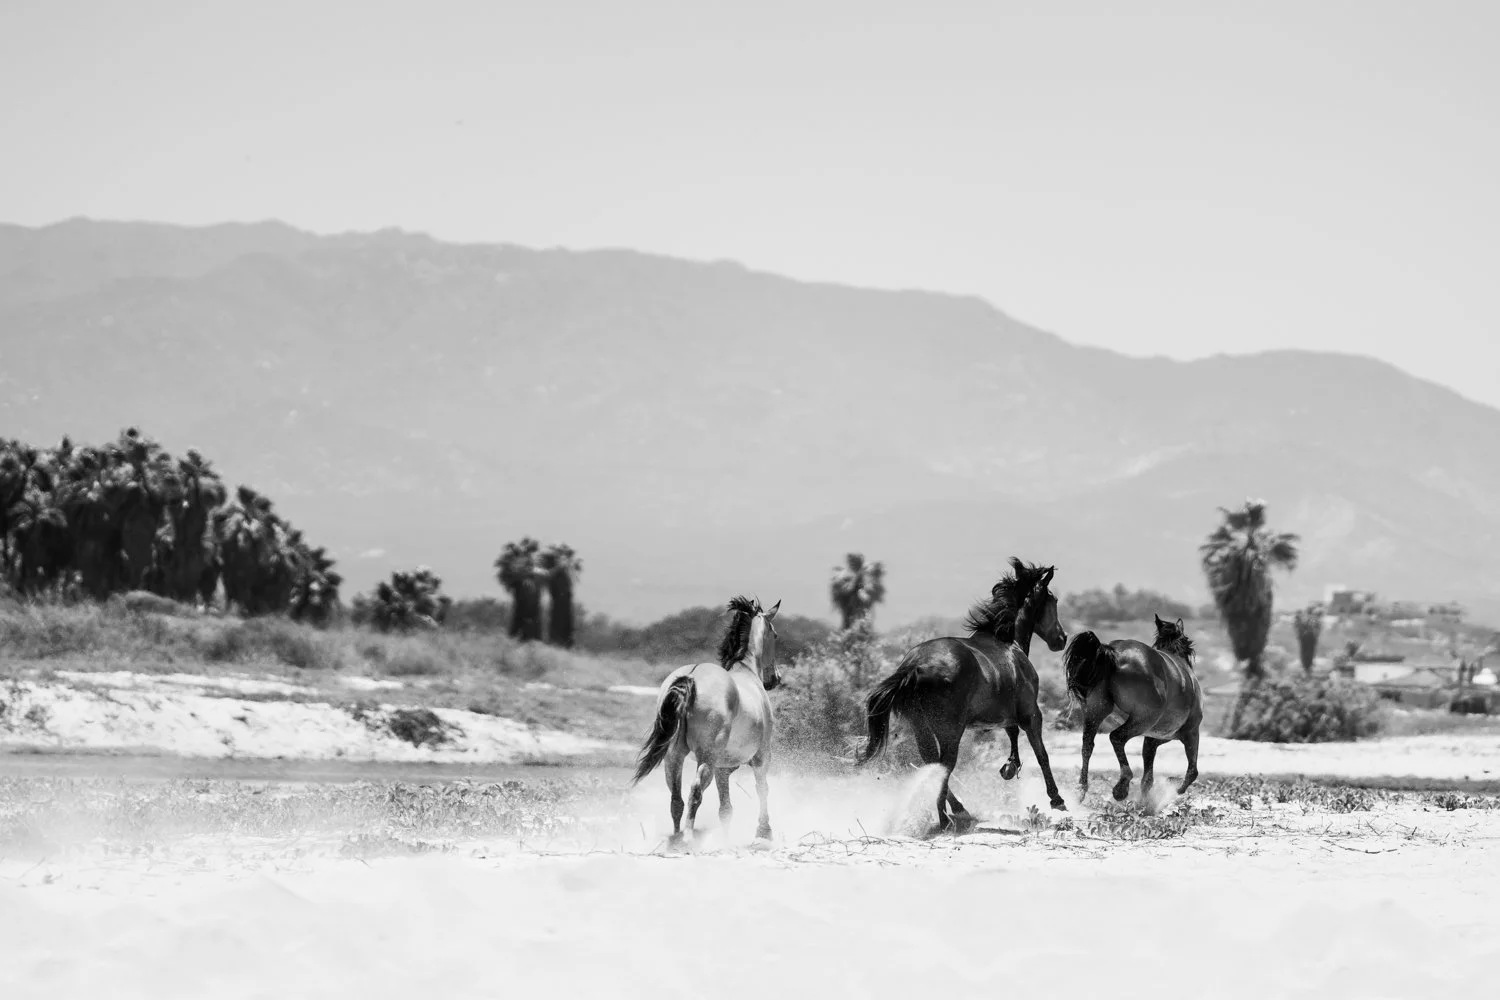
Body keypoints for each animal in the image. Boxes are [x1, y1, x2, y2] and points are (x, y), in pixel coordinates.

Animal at [631, 595, 782, 848]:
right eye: (776, 635)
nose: (775, 679)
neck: (747, 671)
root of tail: (692, 676)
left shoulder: (722, 768)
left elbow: (726, 809)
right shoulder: (762, 757)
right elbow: (763, 789)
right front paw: (764, 831)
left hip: (674, 757)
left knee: (676, 798)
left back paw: (676, 838)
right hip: (706, 758)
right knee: (695, 792)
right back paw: (688, 838)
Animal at [859, 558, 1070, 832]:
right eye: (1053, 600)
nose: (1062, 638)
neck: (1008, 642)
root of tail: (916, 666)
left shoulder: (1006, 716)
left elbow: (1012, 734)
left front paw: (1009, 767)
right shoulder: (1032, 714)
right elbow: (1041, 753)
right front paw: (1057, 799)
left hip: (921, 726)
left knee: (932, 762)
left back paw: (958, 811)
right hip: (951, 728)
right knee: (944, 764)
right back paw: (945, 819)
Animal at [1063, 613, 1203, 801]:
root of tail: (1113, 652)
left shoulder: (1152, 738)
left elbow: (1147, 778)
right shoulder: (1191, 733)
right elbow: (1192, 772)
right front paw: (1173, 790)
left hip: (1097, 712)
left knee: (1087, 746)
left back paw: (1081, 789)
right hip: (1141, 720)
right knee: (1116, 737)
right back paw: (1122, 786)